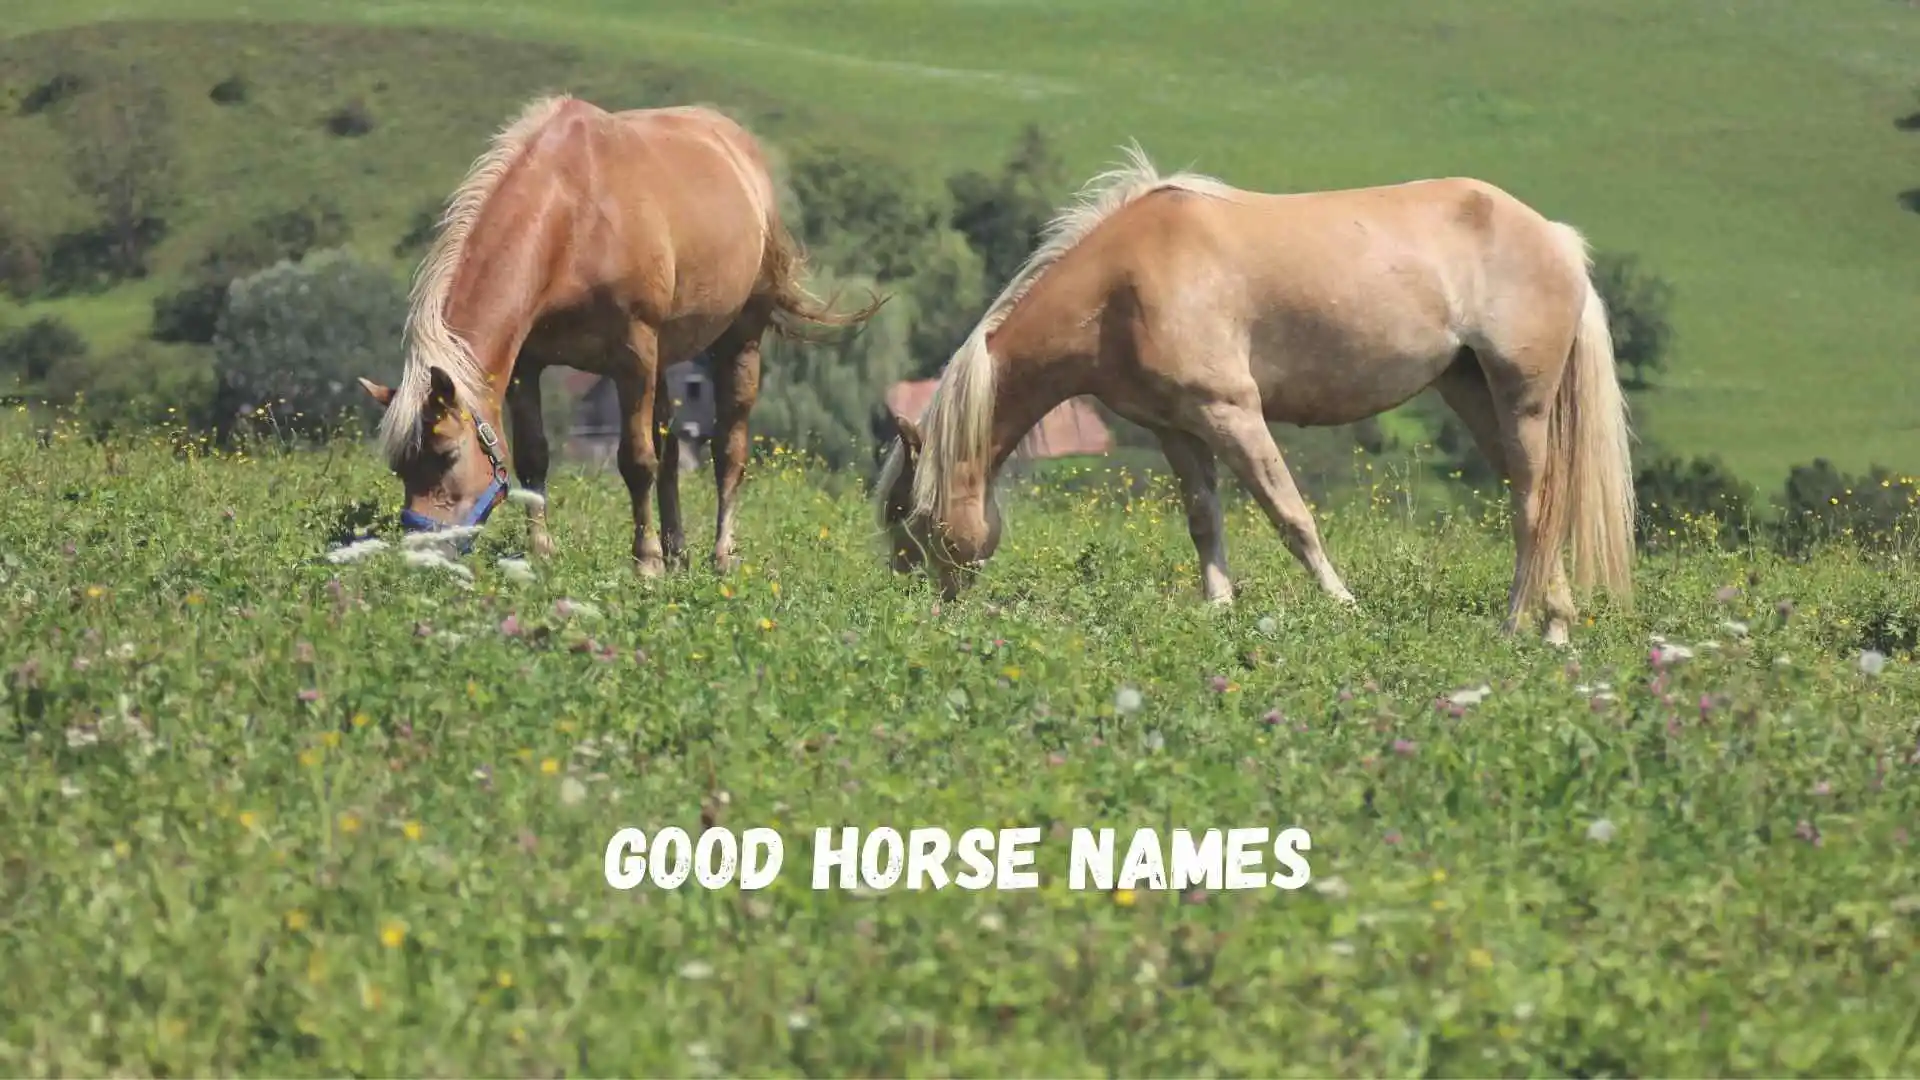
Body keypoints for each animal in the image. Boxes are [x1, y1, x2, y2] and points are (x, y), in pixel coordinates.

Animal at [357, 94, 882, 573]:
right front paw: (543, 552)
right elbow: (534, 456)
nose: (419, 556)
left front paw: (645, 562)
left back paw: (720, 555)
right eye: (400, 466)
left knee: (726, 448)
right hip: (665, 355)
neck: (573, 215)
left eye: (446, 456)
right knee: (672, 448)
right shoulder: (529, 363)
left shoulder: (633, 353)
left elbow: (636, 460)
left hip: (738, 339)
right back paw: (677, 553)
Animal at [875, 144, 1635, 646]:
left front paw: (1342, 606)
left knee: (1535, 508)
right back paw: (1553, 622)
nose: (924, 605)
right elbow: (1203, 519)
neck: (1124, 286)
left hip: (1521, 398)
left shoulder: (1232, 413)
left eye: (915, 519)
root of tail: (1556, 238)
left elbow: (1290, 515)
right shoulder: (1177, 428)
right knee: (1533, 499)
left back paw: (1522, 628)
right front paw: (1218, 610)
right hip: (1474, 394)